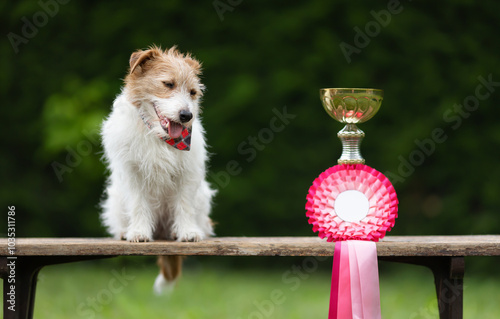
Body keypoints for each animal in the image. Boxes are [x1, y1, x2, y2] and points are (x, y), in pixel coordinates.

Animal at [100, 45, 216, 296]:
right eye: (168, 84)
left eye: (192, 92)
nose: (186, 115)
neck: (157, 135)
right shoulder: (132, 173)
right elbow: (138, 204)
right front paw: (138, 233)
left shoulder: (188, 174)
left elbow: (184, 205)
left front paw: (187, 232)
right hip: (115, 197)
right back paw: (124, 231)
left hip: (203, 196)